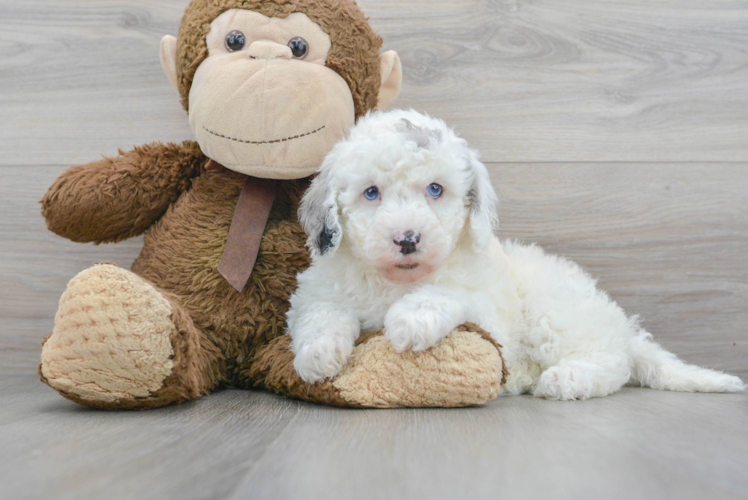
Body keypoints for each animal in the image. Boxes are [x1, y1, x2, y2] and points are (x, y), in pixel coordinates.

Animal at [284, 109, 744, 398]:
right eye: (371, 193)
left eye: (435, 189)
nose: (407, 238)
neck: (397, 281)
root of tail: (619, 325)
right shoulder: (316, 291)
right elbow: (322, 313)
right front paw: (317, 355)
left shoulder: (486, 310)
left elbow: (449, 293)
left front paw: (411, 319)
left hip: (554, 310)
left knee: (614, 362)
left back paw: (567, 379)